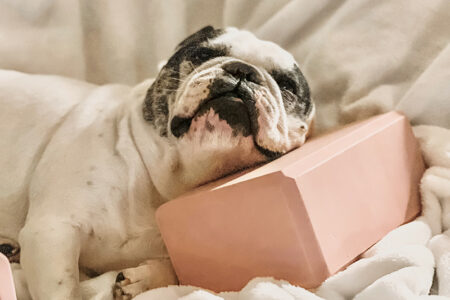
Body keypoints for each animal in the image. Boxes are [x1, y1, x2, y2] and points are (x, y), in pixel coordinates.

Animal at [0, 26, 314, 300]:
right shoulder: (52, 232)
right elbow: (63, 290)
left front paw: (143, 279)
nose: (243, 71)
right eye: (202, 55)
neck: (163, 181)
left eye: (287, 85)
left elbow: (177, 271)